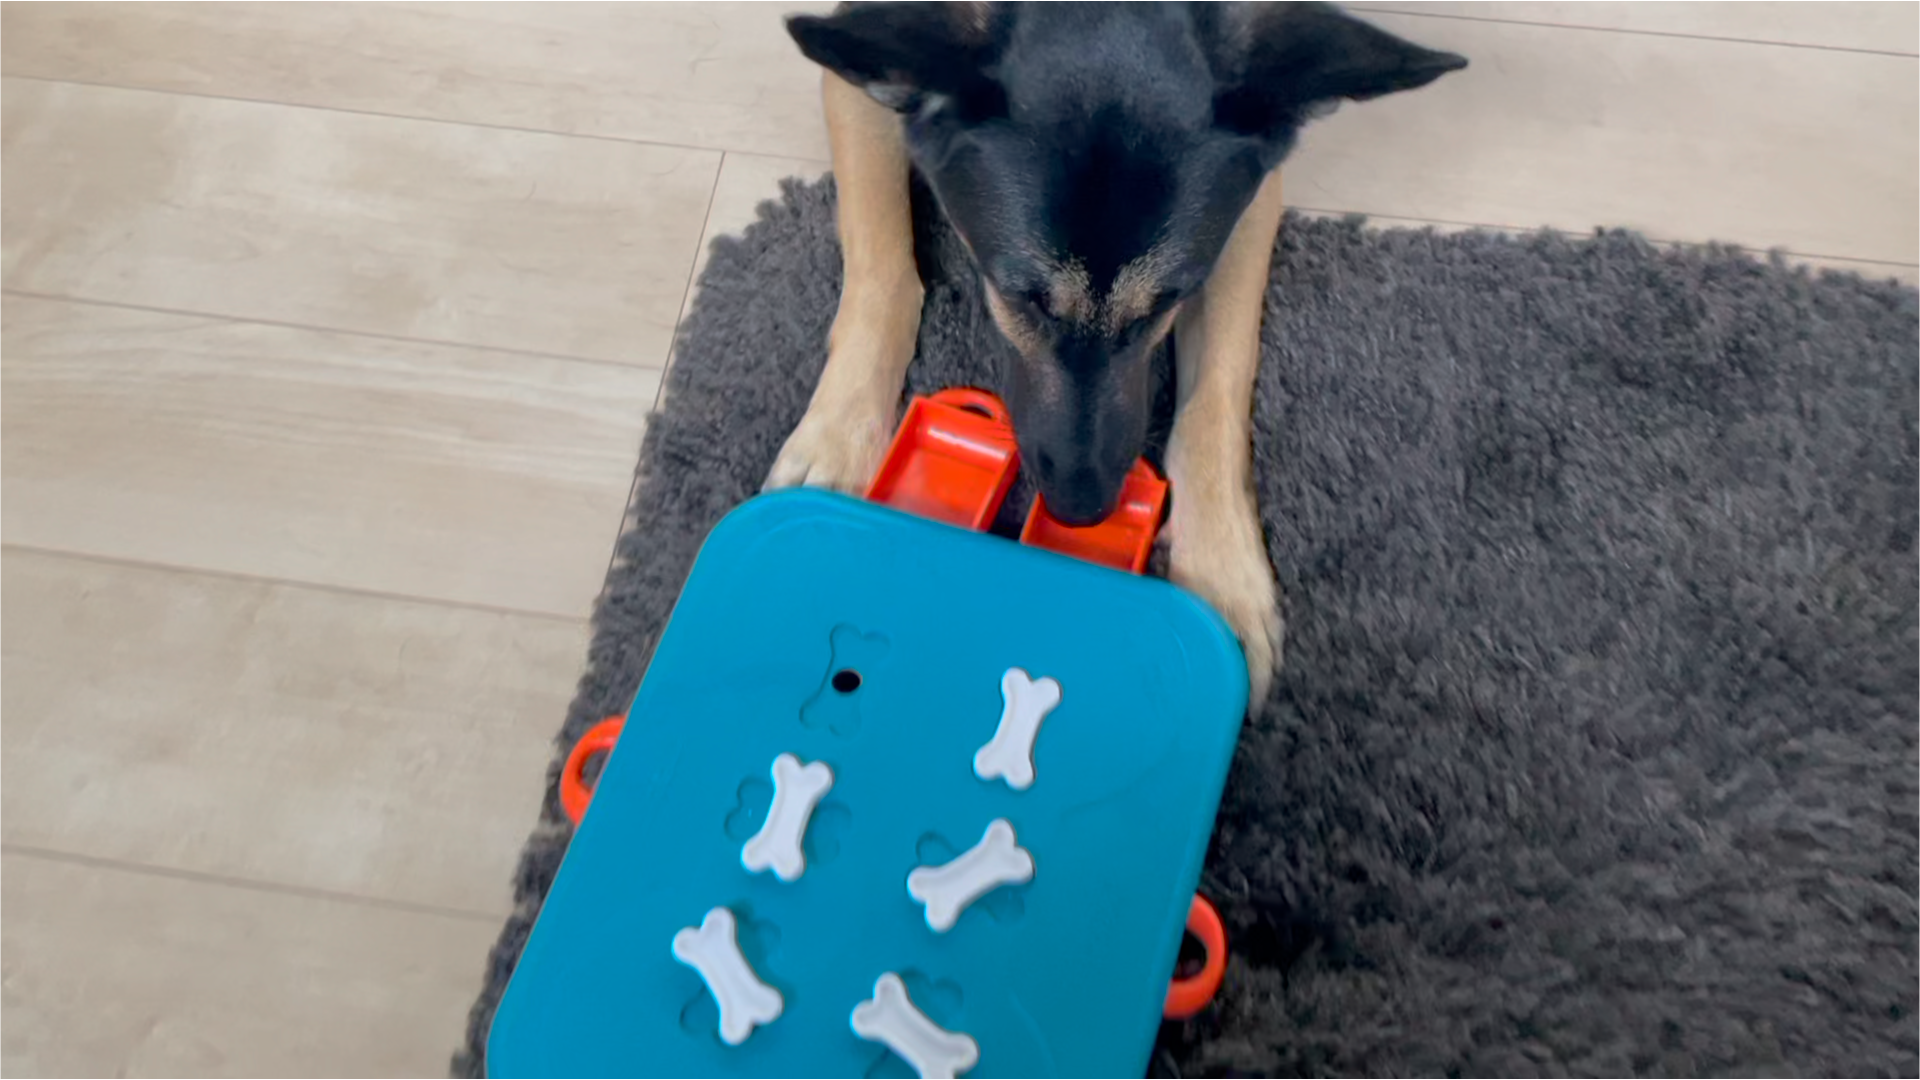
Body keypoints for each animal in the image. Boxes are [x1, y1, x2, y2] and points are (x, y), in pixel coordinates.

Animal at [767, 1, 1466, 705]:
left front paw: (1223, 573)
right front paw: (838, 440)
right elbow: (882, 268)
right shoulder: (853, 83)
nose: (1083, 511)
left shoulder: (1248, 202)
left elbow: (1216, 395)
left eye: (1168, 301)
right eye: (1020, 297)